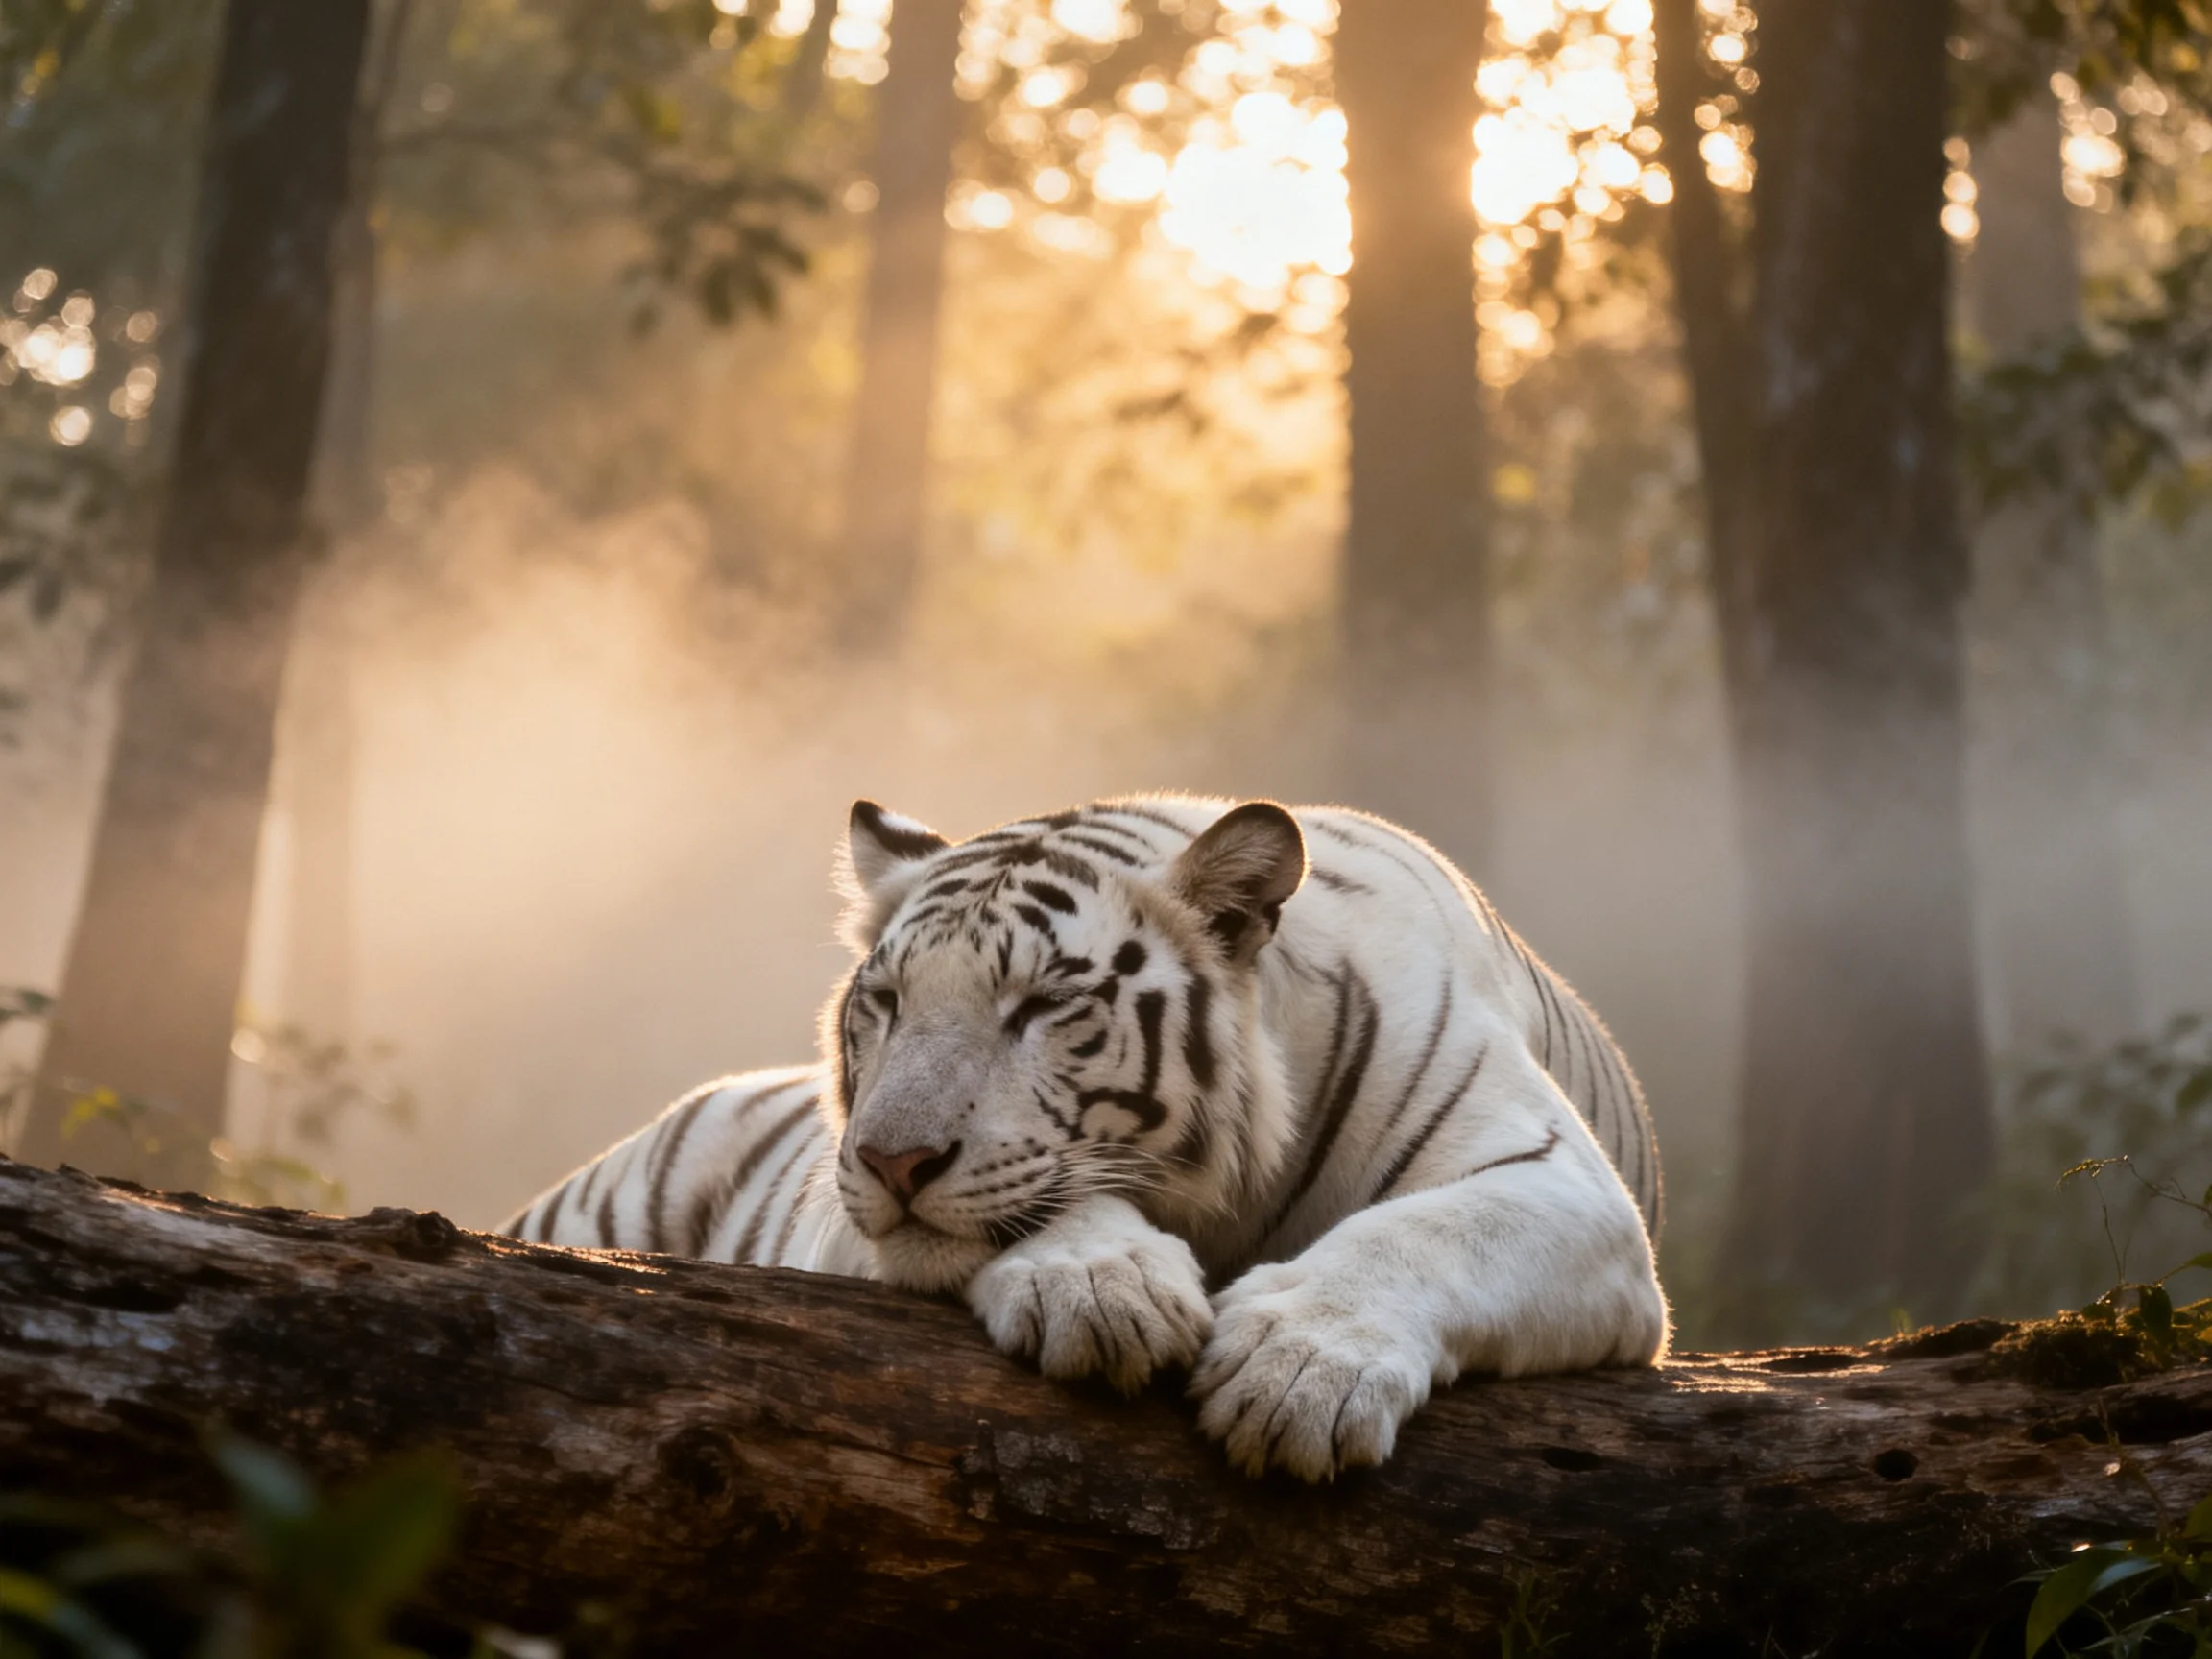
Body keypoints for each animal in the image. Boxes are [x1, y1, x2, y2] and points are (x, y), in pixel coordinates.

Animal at [503, 794, 1668, 1481]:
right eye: (885, 1000)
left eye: (1041, 1006)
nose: (891, 1161)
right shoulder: (841, 1222)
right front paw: (1104, 1289)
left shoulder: (1562, 1185)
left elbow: (1424, 1233)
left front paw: (1297, 1376)